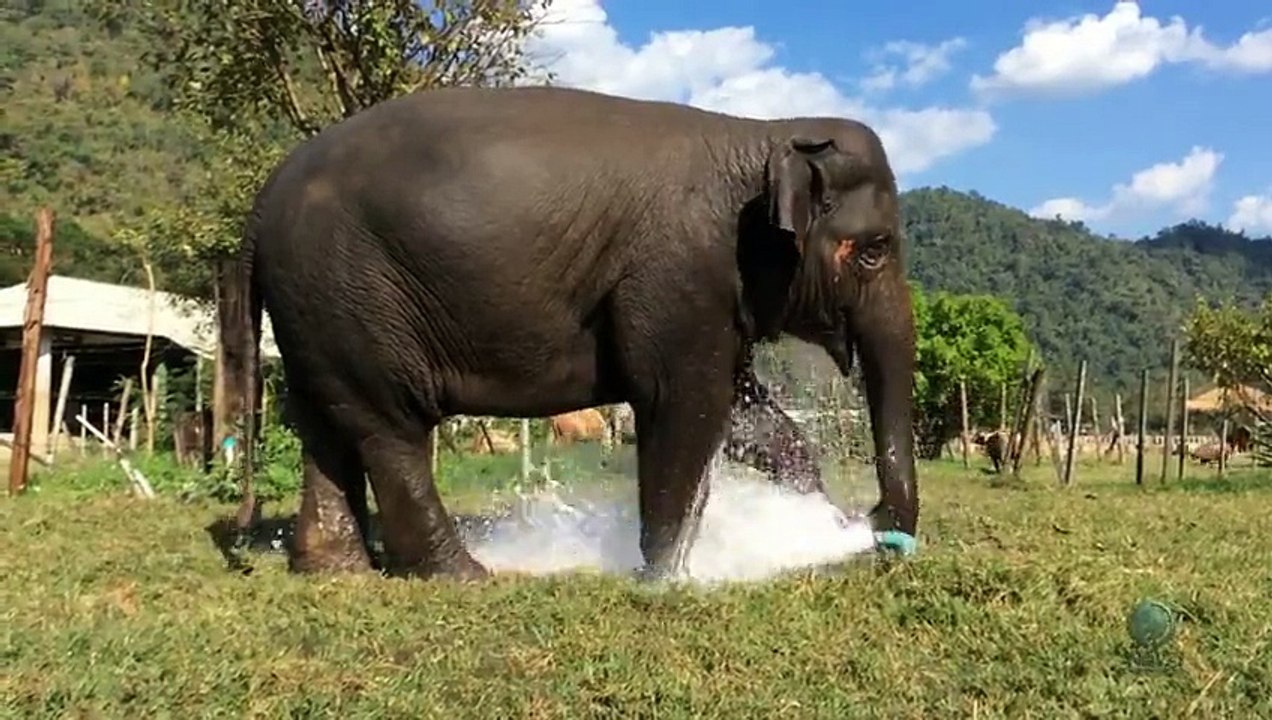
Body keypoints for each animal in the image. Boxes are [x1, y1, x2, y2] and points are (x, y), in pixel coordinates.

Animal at [222, 85, 919, 581]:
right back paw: (466, 575)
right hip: (354, 295)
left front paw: (809, 518)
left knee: (326, 426)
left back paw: (334, 570)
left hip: (315, 310)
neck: (764, 132)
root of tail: (262, 204)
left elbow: (747, 409)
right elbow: (686, 404)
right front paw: (669, 578)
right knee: (391, 431)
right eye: (875, 250)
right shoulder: (680, 273)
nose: (877, 527)